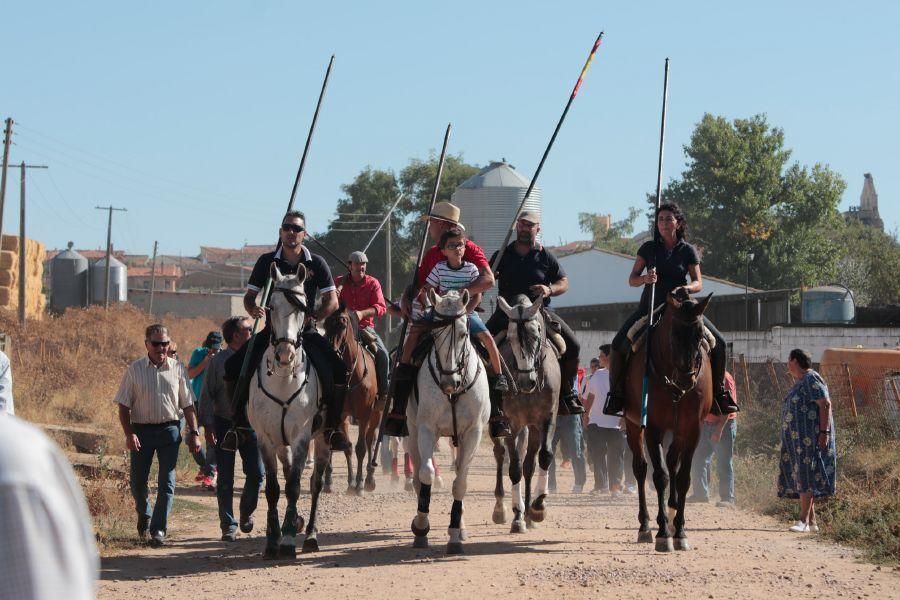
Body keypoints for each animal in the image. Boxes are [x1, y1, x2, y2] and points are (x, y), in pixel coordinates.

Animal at [246, 262, 330, 556]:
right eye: (271, 306)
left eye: (302, 307)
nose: (285, 355)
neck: (283, 378)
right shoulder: (265, 438)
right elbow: (273, 488)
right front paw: (273, 539)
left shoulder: (302, 436)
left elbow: (294, 487)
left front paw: (289, 540)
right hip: (281, 443)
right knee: (288, 469)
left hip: (323, 437)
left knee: (315, 483)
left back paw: (311, 534)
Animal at [324, 302, 380, 494]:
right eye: (326, 324)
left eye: (342, 324)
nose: (330, 350)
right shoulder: (340, 414)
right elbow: (346, 446)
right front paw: (348, 482)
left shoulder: (365, 413)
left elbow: (360, 448)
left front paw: (360, 483)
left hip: (376, 414)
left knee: (370, 441)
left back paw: (370, 479)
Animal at [410, 288, 488, 556]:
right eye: (434, 333)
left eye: (464, 333)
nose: (448, 382)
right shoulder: (425, 429)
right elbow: (425, 474)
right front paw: (421, 526)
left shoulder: (473, 433)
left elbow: (461, 484)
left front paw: (454, 535)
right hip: (410, 431)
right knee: (417, 475)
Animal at [488, 292, 560, 532]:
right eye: (510, 339)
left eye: (536, 334)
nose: (526, 382)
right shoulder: (511, 423)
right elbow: (515, 467)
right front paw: (517, 517)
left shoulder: (546, 419)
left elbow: (543, 456)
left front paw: (537, 507)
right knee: (501, 455)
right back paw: (503, 509)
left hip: (532, 428)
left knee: (529, 463)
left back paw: (529, 512)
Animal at [624, 290, 712, 552]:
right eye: (674, 333)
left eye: (700, 334)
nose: (686, 379)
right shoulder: (653, 428)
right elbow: (659, 476)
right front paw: (663, 534)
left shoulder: (693, 428)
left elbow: (683, 477)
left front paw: (680, 531)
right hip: (633, 425)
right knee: (641, 468)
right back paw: (645, 527)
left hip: (679, 430)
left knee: (673, 461)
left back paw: (672, 517)